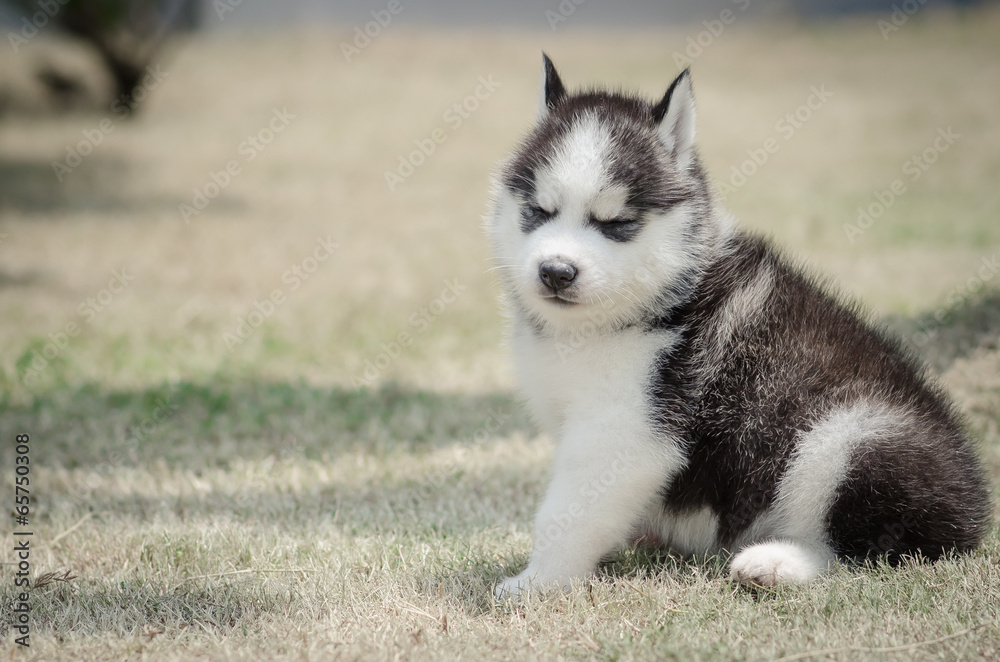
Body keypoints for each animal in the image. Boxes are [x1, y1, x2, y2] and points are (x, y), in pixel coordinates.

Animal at [486, 54, 992, 600]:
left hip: (853, 437)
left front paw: (537, 581)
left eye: (616, 223)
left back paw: (777, 562)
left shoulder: (626, 428)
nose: (556, 271)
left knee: (870, 550)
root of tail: (975, 513)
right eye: (539, 211)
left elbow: (567, 512)